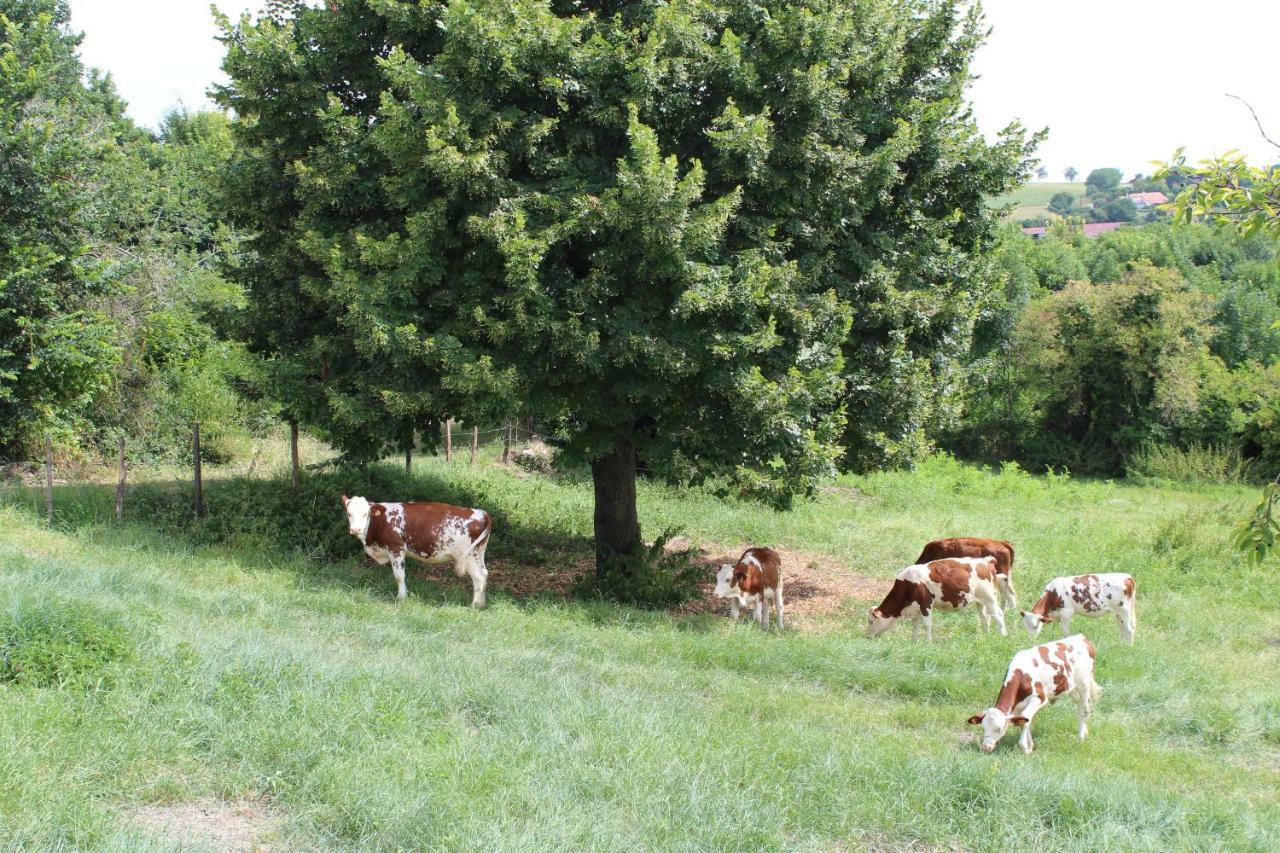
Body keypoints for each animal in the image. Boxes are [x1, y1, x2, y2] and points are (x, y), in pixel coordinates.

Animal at [343, 491, 491, 604]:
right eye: (349, 514)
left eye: (365, 514)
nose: (355, 529)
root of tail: (481, 513)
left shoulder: (396, 549)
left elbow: (399, 576)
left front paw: (401, 598)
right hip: (479, 552)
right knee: (484, 573)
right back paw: (482, 604)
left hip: (469, 556)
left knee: (478, 577)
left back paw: (474, 606)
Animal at [870, 558, 1008, 637]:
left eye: (870, 621)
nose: (867, 636)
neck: (909, 582)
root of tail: (987, 561)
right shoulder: (915, 608)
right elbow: (915, 626)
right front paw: (914, 643)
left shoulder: (926, 604)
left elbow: (927, 625)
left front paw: (928, 644)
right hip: (981, 601)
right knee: (985, 618)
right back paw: (985, 637)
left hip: (990, 599)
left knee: (998, 615)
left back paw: (1003, 636)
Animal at [967, 630, 1100, 753]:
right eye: (983, 727)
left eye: (999, 728)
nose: (985, 747)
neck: (1021, 675)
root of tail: (1082, 637)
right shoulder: (1018, 707)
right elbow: (1025, 721)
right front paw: (1030, 746)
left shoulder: (1039, 698)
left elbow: (1026, 719)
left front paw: (1024, 748)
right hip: (1072, 688)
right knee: (1081, 706)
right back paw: (1085, 731)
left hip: (1084, 685)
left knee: (1083, 710)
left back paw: (1080, 737)